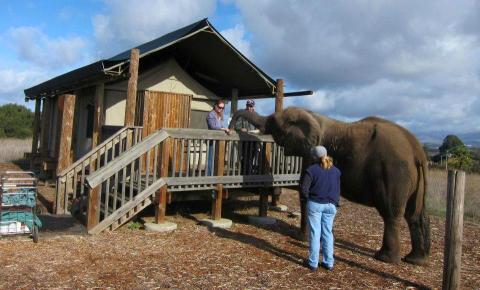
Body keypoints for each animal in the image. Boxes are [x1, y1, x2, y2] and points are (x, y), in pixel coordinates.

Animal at [231, 106, 430, 266]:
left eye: (272, 121)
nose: (233, 125)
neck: (313, 116)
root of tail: (418, 152)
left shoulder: (311, 154)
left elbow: (306, 192)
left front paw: (299, 238)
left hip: (393, 175)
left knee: (391, 214)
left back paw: (385, 258)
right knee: (413, 215)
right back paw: (415, 260)